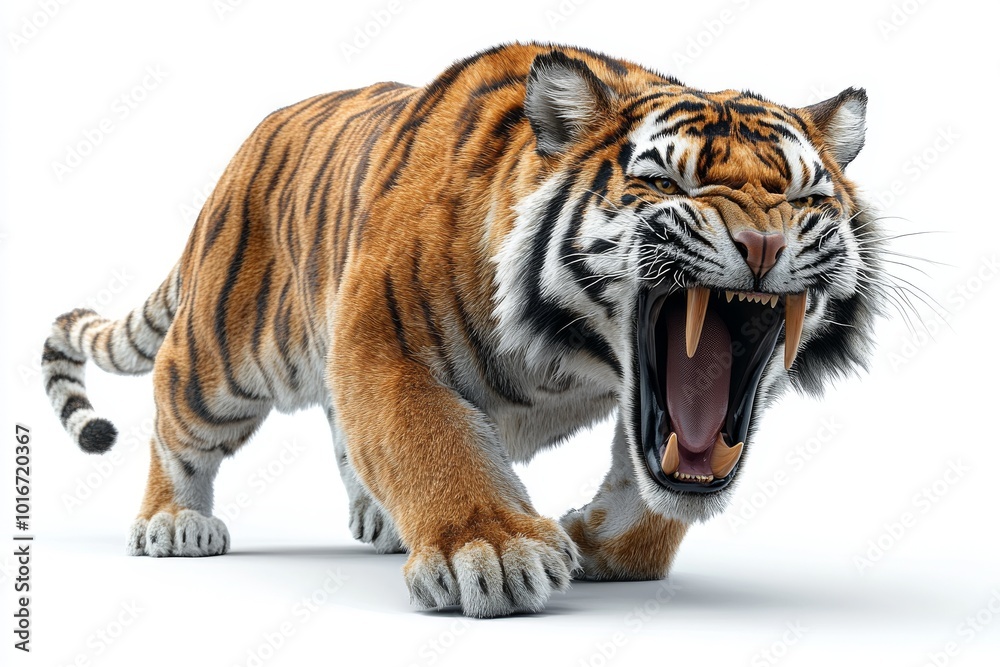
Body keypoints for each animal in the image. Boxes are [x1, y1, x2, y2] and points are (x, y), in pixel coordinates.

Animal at [42, 42, 884, 618]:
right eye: (668, 180)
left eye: (806, 195)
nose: (764, 245)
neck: (576, 356)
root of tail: (239, 157)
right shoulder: (383, 342)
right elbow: (432, 440)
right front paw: (494, 549)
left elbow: (651, 489)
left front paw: (598, 544)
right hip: (226, 356)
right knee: (173, 414)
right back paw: (174, 521)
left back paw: (379, 519)